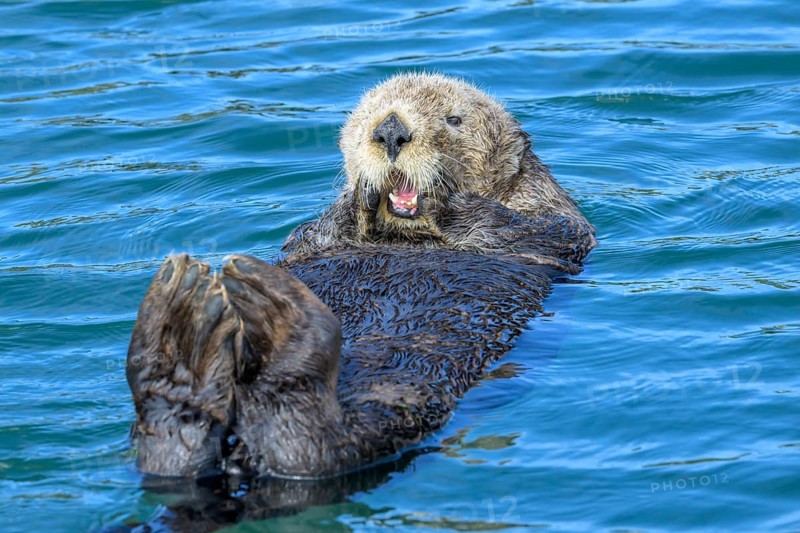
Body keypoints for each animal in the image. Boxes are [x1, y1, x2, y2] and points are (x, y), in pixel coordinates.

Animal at [126, 73, 595, 481]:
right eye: (369, 114)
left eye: (454, 120)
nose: (390, 131)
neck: (407, 236)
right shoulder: (307, 241)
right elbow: (312, 234)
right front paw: (359, 198)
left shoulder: (556, 224)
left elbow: (517, 228)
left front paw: (448, 199)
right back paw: (180, 352)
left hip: (391, 399)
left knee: (310, 445)